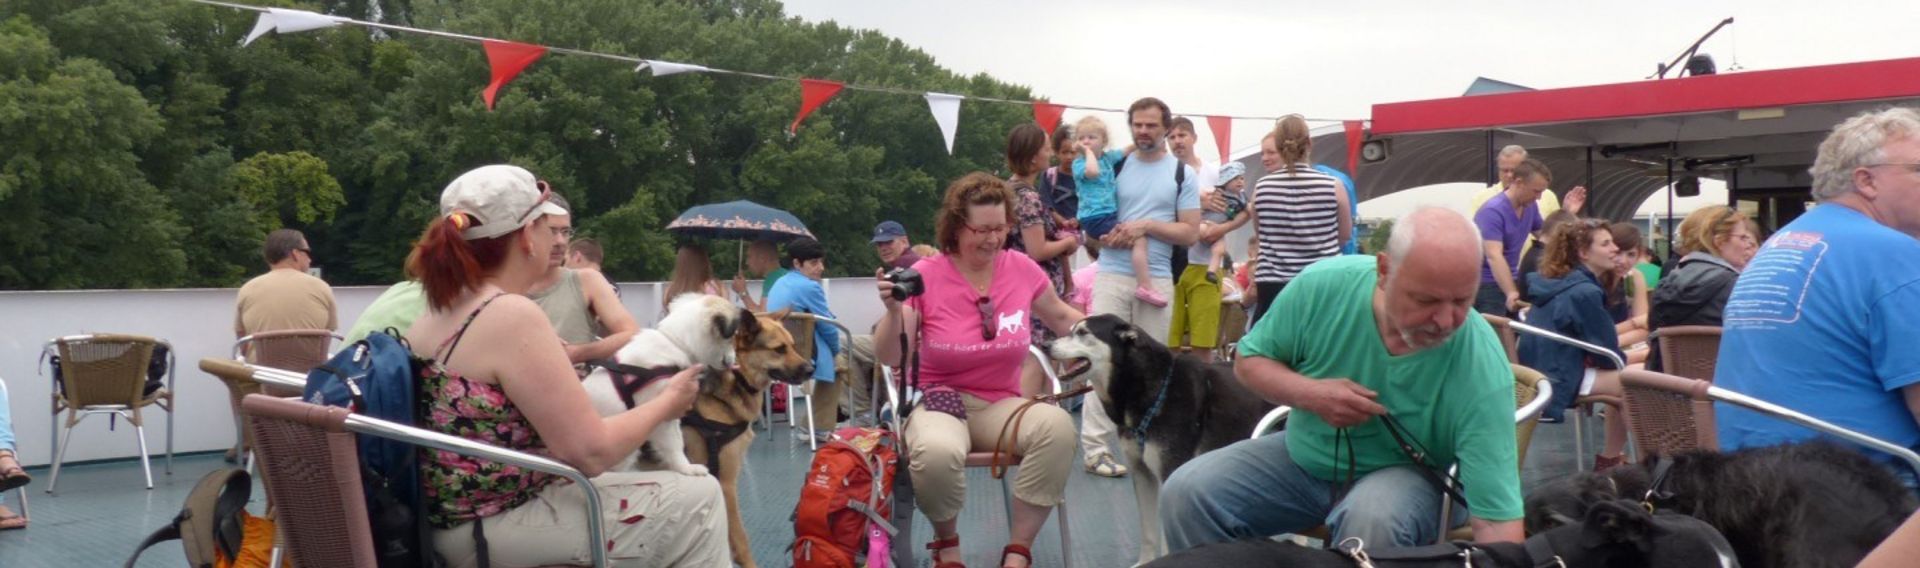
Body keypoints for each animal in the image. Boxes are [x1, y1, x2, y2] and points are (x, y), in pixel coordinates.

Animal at [1052, 314, 1274, 564]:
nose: (1048, 345)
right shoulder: (1142, 472)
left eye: (1082, 333)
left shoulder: (1170, 472)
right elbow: (1148, 532)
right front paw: (1145, 562)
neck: (1156, 391)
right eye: (1072, 329)